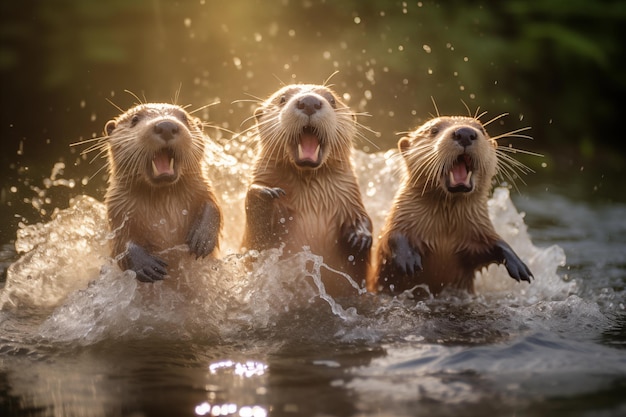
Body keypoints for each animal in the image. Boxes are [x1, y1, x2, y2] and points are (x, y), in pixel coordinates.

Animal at [101, 102, 221, 282]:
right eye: (135, 119)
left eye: (184, 118)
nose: (166, 126)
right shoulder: (116, 207)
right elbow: (120, 243)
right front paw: (145, 265)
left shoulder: (204, 187)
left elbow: (214, 205)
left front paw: (203, 237)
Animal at [243, 82, 370, 296]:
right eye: (282, 99)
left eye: (332, 100)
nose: (309, 101)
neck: (312, 208)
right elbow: (255, 245)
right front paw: (265, 193)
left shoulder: (351, 199)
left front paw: (360, 234)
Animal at [366, 115, 532, 294]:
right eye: (433, 130)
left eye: (482, 129)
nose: (465, 133)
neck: (444, 234)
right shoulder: (400, 216)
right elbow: (389, 236)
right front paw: (408, 259)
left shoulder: (478, 228)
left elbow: (494, 242)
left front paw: (518, 264)